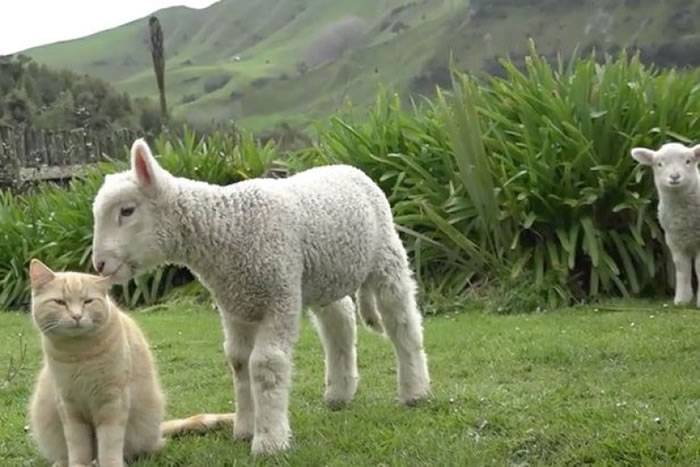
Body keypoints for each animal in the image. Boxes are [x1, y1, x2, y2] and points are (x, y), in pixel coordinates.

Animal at [28, 260, 235, 467]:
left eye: (88, 301)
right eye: (60, 302)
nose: (77, 316)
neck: (79, 353)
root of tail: (157, 430)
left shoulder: (113, 402)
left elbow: (109, 444)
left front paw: (110, 463)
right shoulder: (69, 406)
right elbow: (78, 448)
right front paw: (78, 464)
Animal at [90, 139, 430, 458]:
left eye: (127, 211)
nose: (99, 265)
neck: (226, 229)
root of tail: (346, 167)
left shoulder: (279, 296)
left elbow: (266, 364)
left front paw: (269, 440)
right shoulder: (235, 306)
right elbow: (239, 361)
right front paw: (244, 428)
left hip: (385, 255)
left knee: (402, 322)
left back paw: (415, 391)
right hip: (322, 276)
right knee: (340, 322)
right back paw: (339, 392)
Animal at [632, 143, 700, 308]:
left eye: (688, 161)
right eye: (659, 164)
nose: (674, 176)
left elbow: (699, 267)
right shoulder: (674, 241)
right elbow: (682, 268)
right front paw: (682, 300)